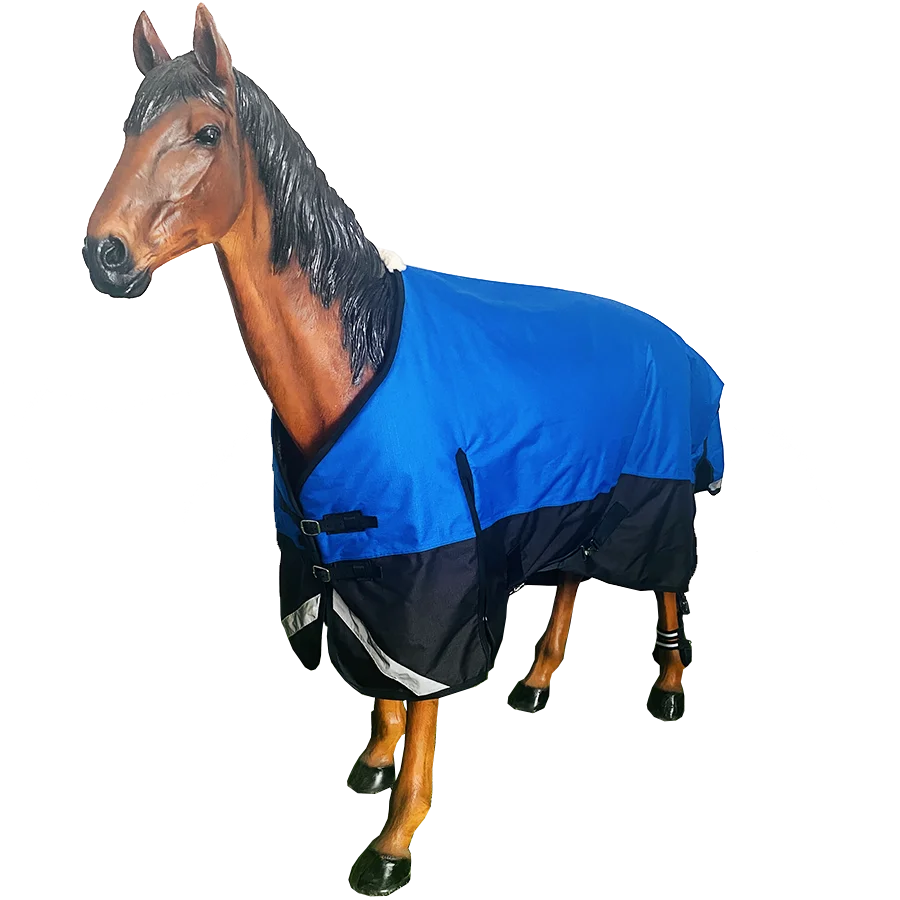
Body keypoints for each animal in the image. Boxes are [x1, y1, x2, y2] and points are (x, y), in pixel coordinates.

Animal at [83, 7, 724, 895]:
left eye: (206, 133)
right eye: (127, 125)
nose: (101, 254)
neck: (355, 361)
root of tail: (683, 346)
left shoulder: (433, 561)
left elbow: (422, 690)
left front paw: (395, 837)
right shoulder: (348, 554)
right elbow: (377, 677)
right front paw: (376, 761)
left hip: (650, 496)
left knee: (667, 584)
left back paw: (666, 690)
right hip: (574, 496)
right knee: (571, 579)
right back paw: (535, 683)